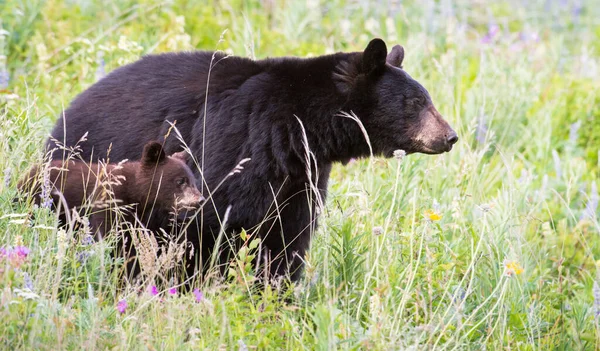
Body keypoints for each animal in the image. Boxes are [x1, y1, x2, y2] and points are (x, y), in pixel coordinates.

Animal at [47, 38, 458, 284]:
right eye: (417, 102)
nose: (450, 136)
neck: (300, 125)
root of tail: (65, 113)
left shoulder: (299, 174)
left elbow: (288, 235)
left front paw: (276, 293)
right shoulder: (236, 143)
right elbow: (209, 221)